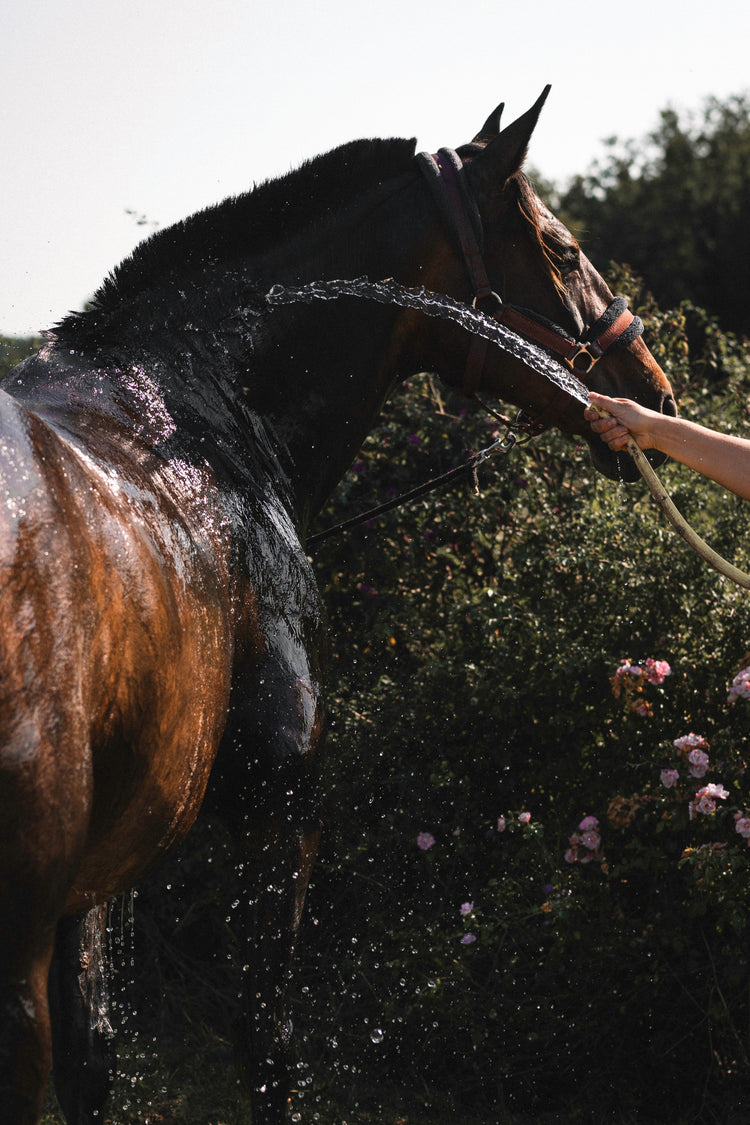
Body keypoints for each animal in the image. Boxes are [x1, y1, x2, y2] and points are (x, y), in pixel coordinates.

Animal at [0, 88, 675, 1124]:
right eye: (562, 250)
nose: (654, 391)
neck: (201, 420)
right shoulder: (280, 801)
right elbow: (266, 1042)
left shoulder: (107, 858)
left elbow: (96, 1053)